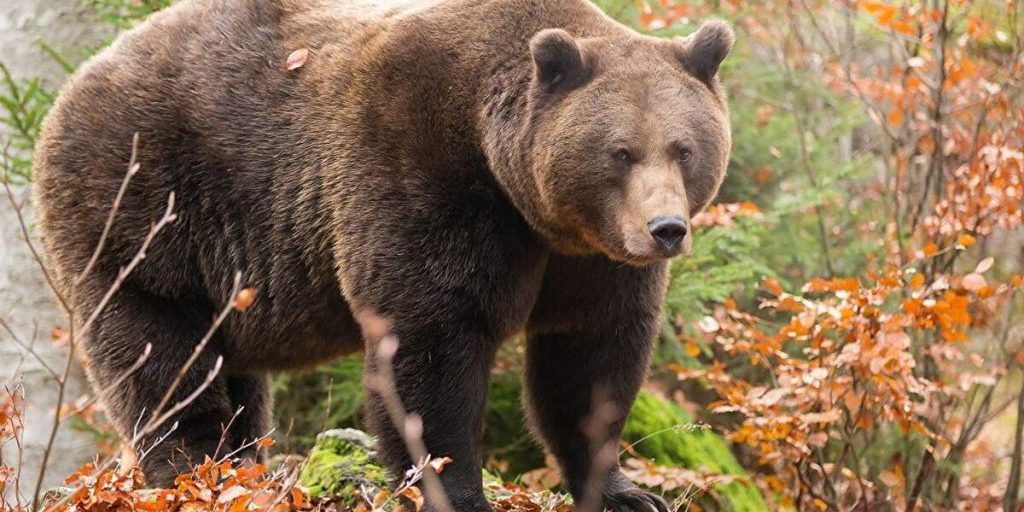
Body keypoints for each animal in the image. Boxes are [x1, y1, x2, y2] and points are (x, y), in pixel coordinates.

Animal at [31, 0, 733, 510]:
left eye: (684, 147)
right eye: (620, 152)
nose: (666, 229)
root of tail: (75, 81)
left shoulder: (588, 259)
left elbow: (590, 357)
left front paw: (625, 491)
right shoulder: (419, 173)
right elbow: (429, 342)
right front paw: (455, 489)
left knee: (232, 368)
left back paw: (241, 463)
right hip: (144, 202)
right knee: (157, 345)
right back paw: (193, 467)